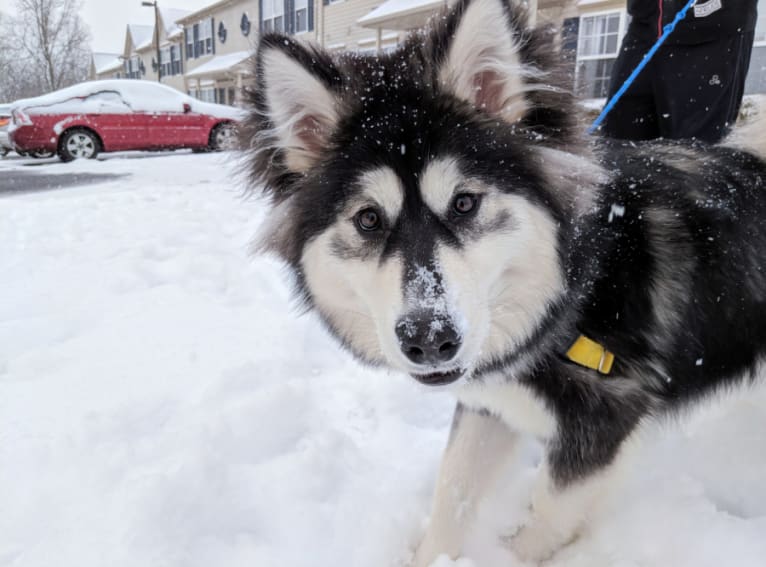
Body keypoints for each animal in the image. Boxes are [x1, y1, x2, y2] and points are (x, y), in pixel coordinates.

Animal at [243, 1, 766, 564]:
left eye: (464, 202)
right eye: (368, 219)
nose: (429, 340)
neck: (573, 295)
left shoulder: (603, 419)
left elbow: (544, 518)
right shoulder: (490, 398)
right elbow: (453, 487)